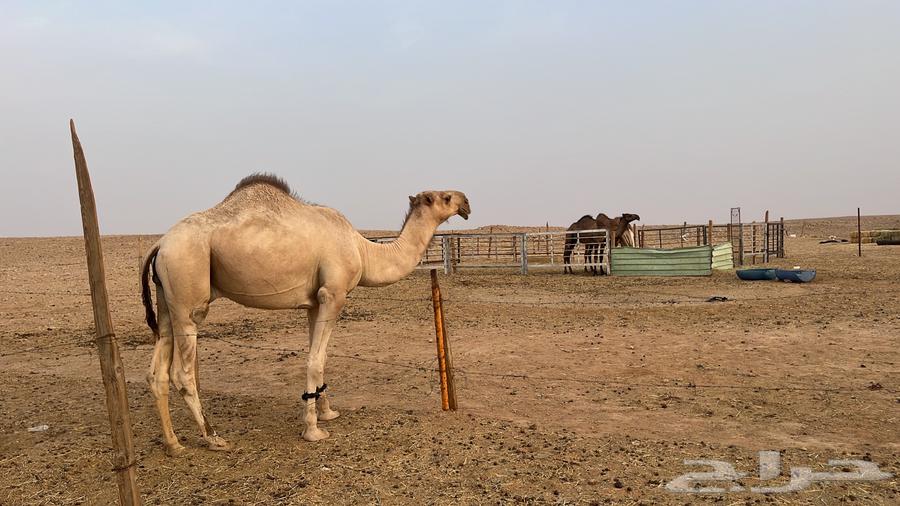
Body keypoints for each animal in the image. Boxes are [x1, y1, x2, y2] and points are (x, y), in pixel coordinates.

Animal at [140, 174, 470, 455]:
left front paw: (327, 413)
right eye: (445, 197)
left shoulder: (314, 302)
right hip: (188, 289)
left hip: (167, 298)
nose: (467, 202)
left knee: (157, 371)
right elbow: (314, 360)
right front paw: (313, 430)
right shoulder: (333, 294)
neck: (363, 251)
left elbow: (319, 358)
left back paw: (173, 444)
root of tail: (160, 243)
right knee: (182, 372)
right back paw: (213, 437)